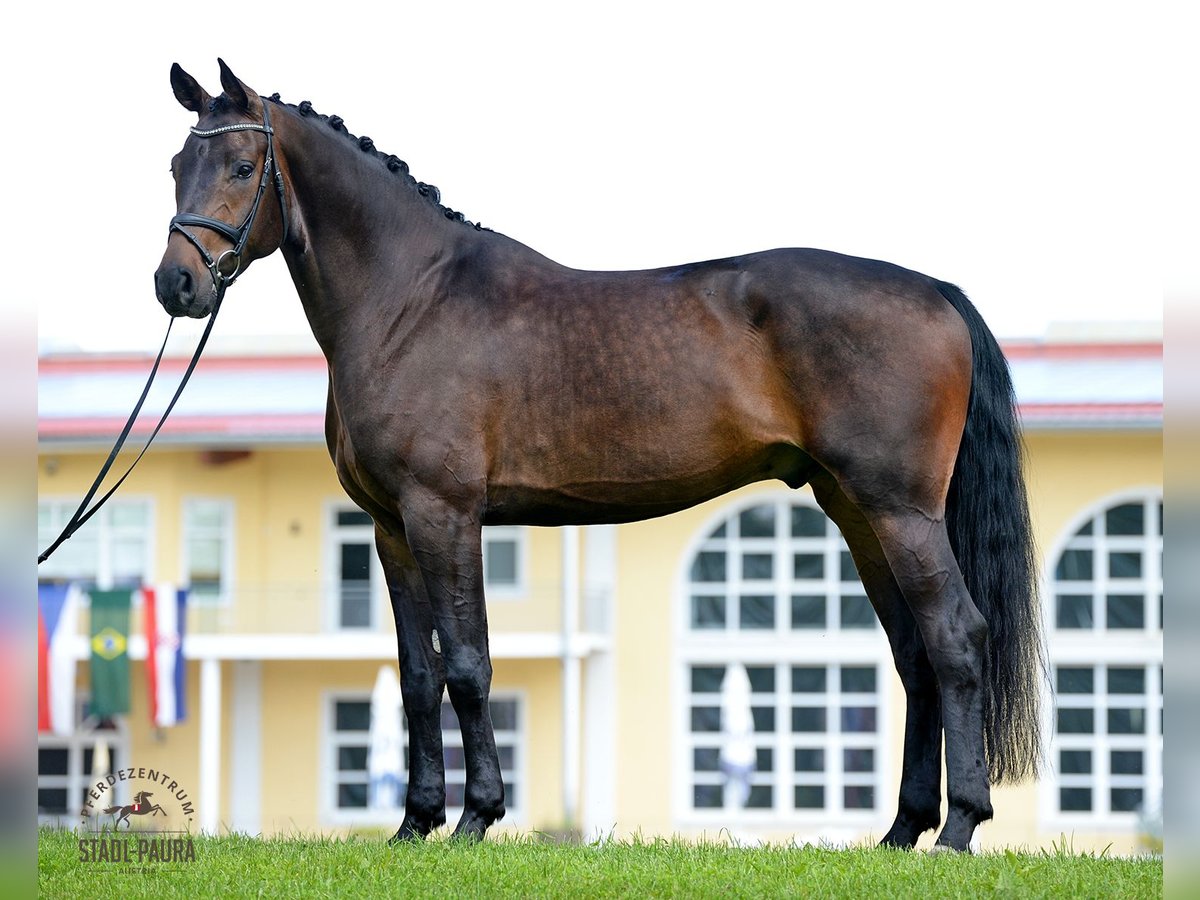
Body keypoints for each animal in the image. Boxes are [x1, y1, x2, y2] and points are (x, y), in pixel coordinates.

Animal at [157, 61, 1041, 854]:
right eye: (175, 167)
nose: (176, 285)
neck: (411, 300)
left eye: (242, 166)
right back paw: (901, 831)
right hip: (857, 512)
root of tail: (936, 291)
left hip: (902, 512)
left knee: (955, 637)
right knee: (915, 654)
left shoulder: (444, 514)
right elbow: (416, 676)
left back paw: (959, 827)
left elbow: (468, 664)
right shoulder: (389, 528)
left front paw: (477, 818)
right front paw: (414, 824)